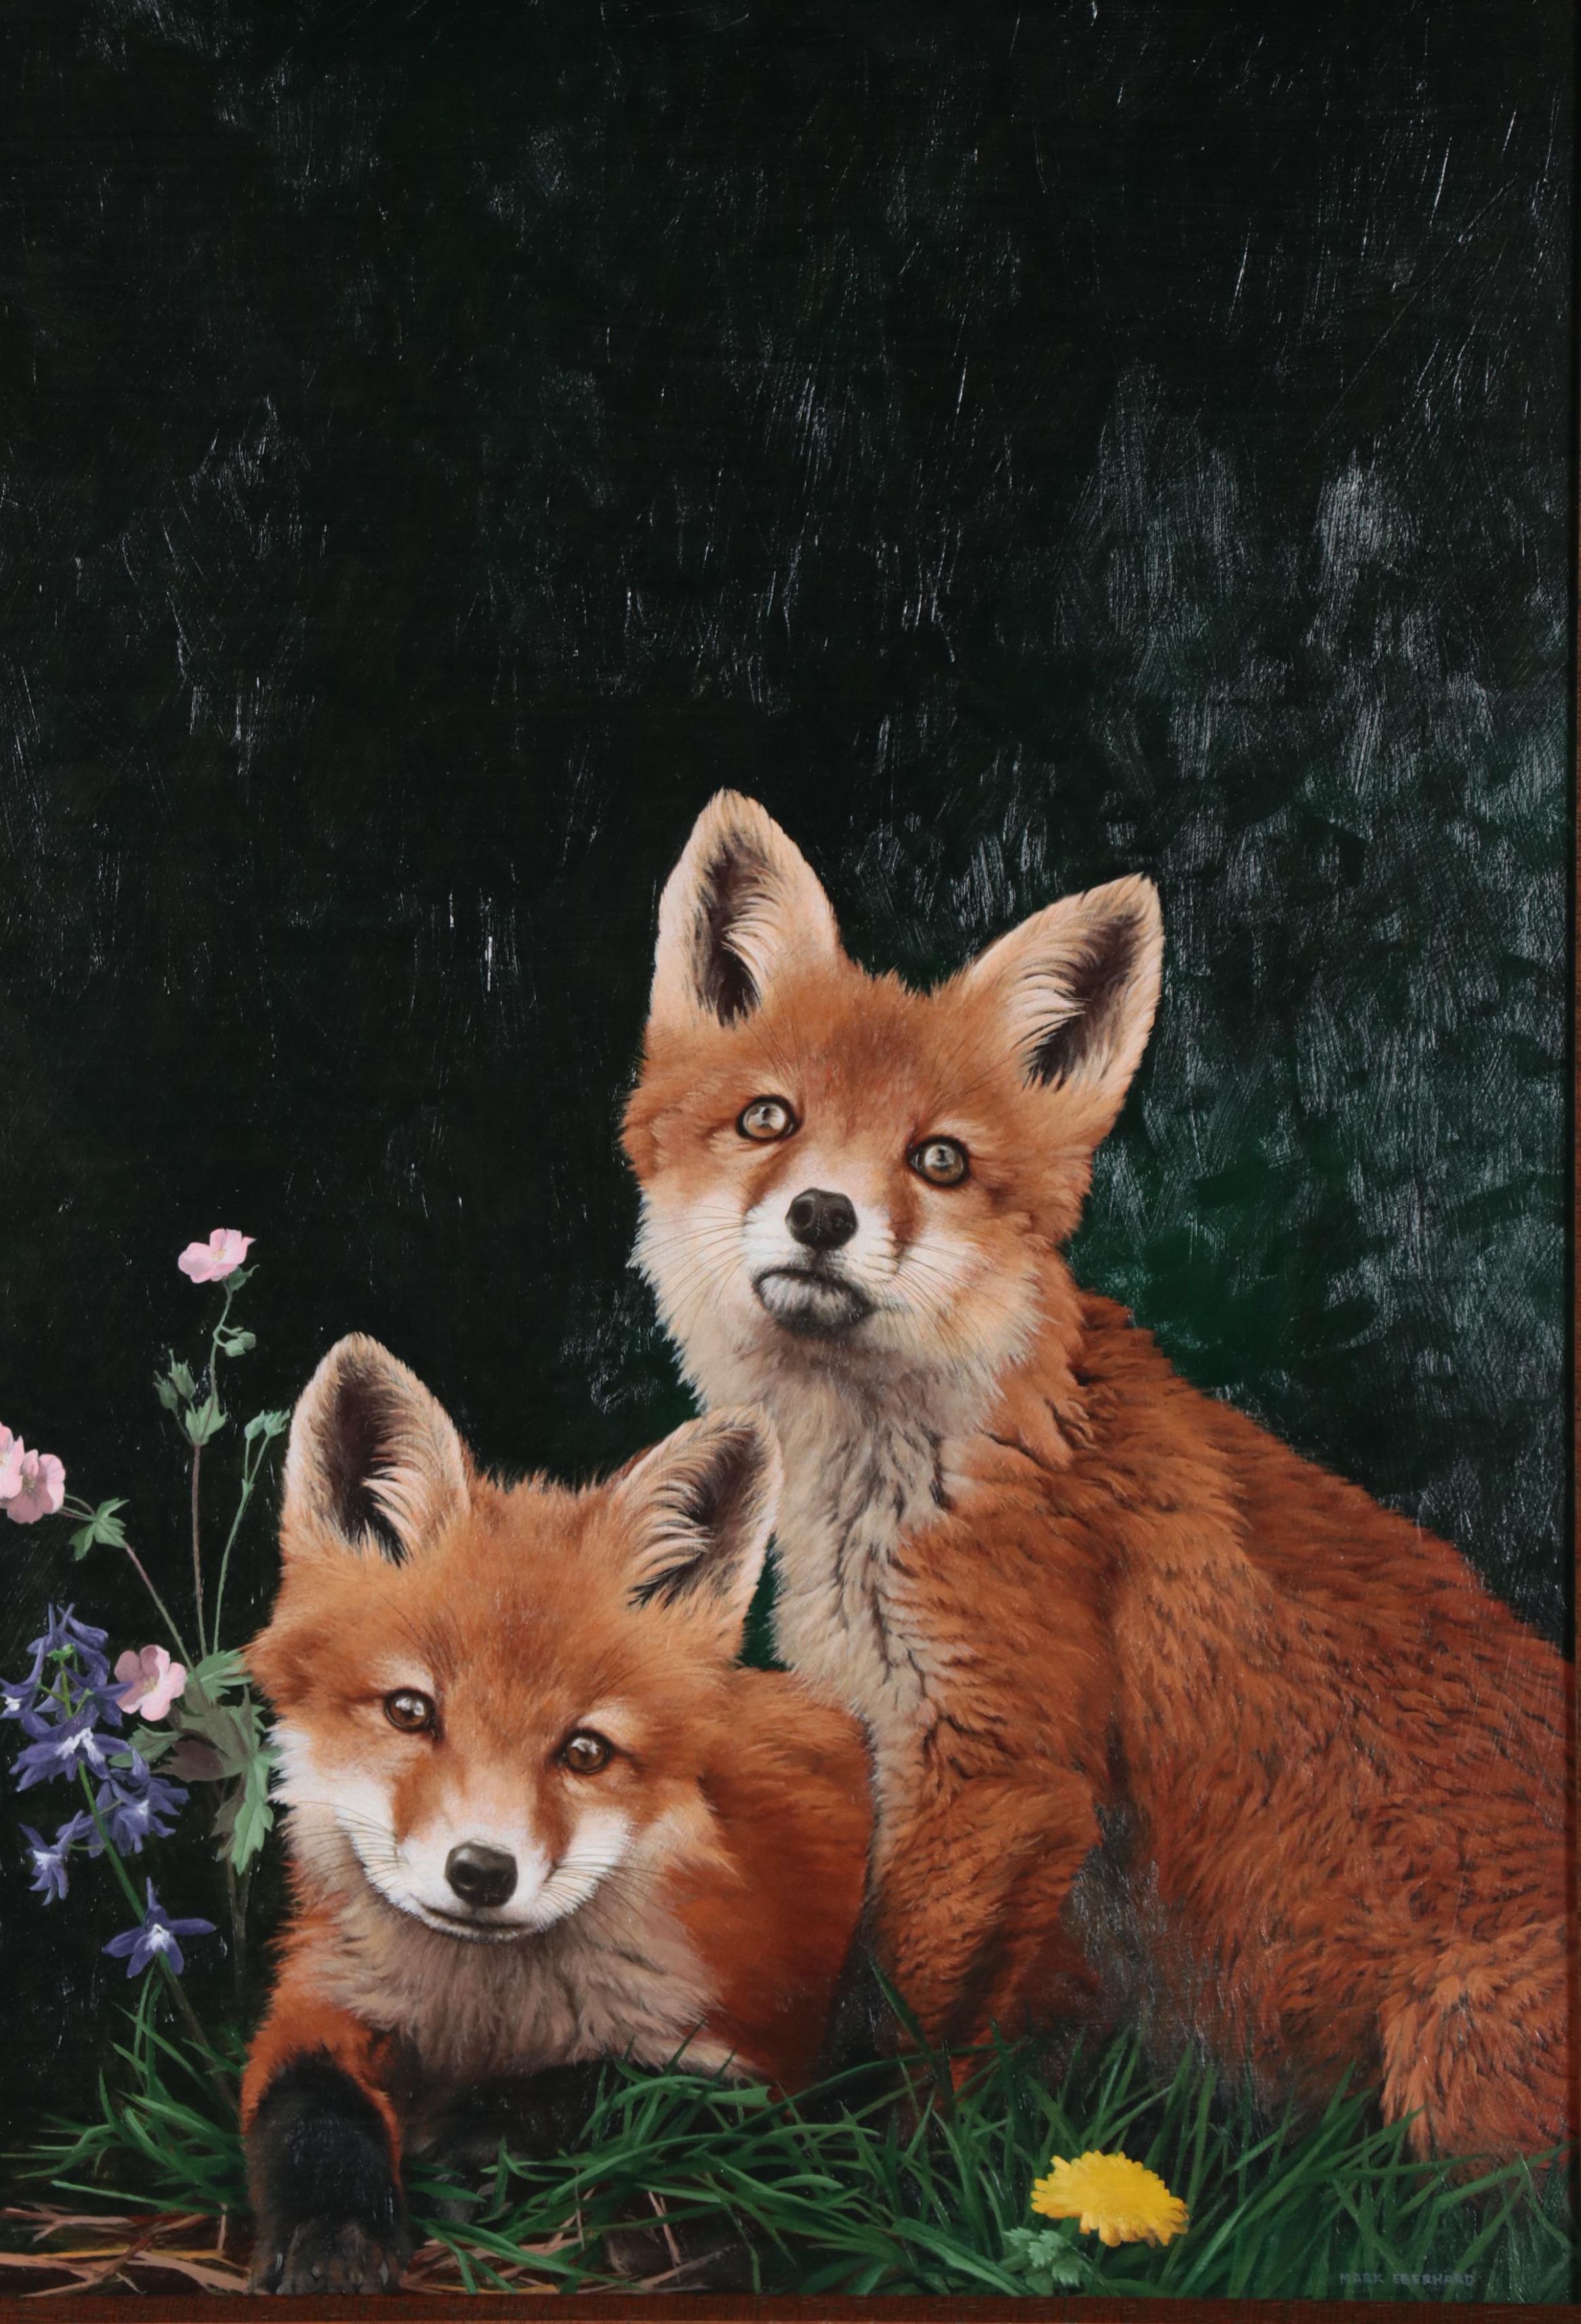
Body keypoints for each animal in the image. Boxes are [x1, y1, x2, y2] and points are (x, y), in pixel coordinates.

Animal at [241, 1334, 872, 2295]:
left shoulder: (760, 2060)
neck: (482, 2018)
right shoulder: (312, 2000)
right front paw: (332, 2231)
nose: (480, 1871)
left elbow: (615, 2081)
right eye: (410, 1711)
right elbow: (308, 2109)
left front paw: (475, 2144)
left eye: (584, 1751)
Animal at [622, 789, 1574, 2166]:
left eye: (940, 1161)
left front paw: (889, 2176)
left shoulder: (1007, 1761)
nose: (820, 1216)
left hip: (1448, 2058)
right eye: (768, 1120)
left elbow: (911, 2020)